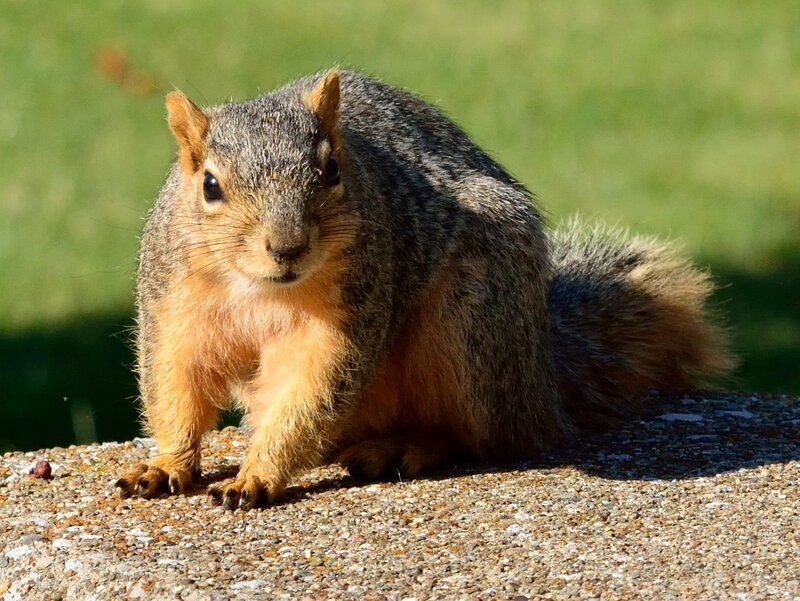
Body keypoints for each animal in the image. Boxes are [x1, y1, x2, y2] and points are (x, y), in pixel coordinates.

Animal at [116, 69, 734, 510]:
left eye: (332, 170)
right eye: (209, 185)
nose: (287, 247)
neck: (260, 289)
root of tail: (541, 377)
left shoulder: (349, 310)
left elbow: (311, 392)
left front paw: (257, 475)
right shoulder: (174, 307)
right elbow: (174, 385)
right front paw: (166, 465)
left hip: (471, 327)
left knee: (488, 436)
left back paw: (406, 448)